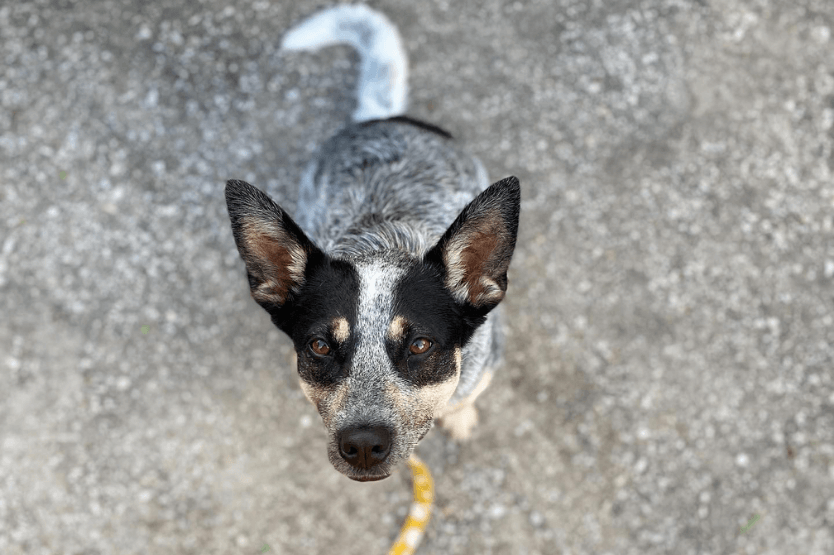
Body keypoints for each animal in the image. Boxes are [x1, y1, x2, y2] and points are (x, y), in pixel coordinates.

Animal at [224, 4, 516, 482]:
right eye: (319, 346)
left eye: (420, 345)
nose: (362, 445)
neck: (386, 235)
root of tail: (378, 118)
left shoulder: (484, 364)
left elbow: (466, 397)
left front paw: (460, 416)